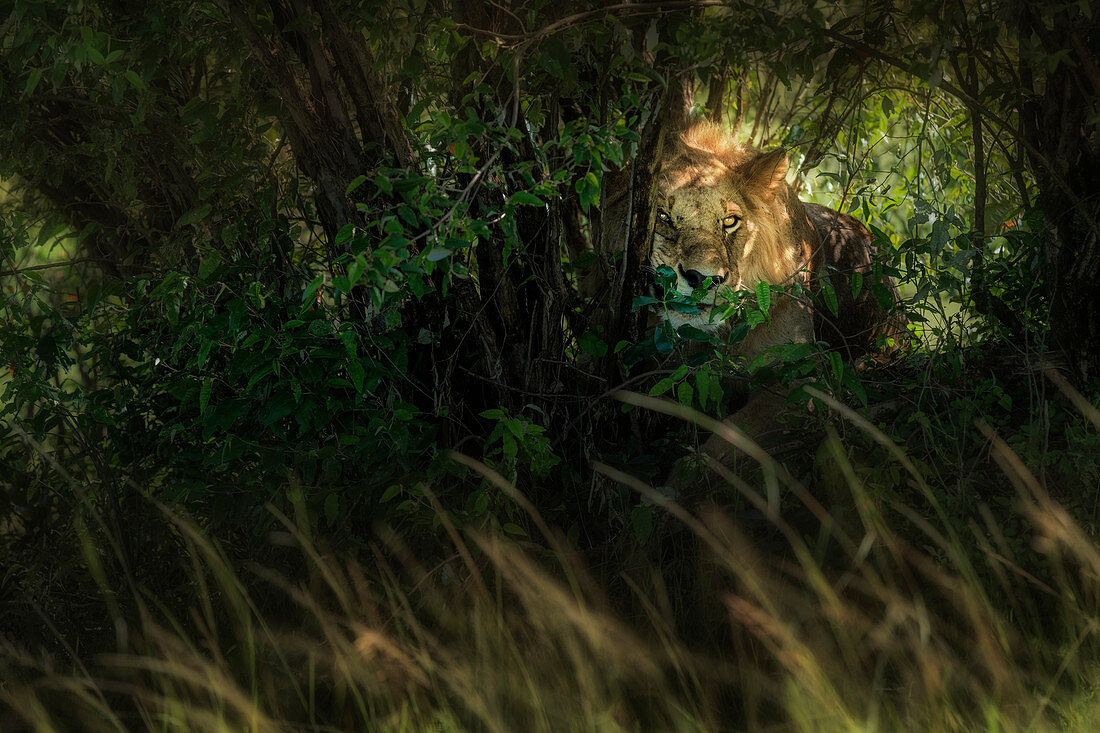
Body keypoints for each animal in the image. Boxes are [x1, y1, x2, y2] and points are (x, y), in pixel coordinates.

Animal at [646, 122, 906, 460]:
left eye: (729, 221)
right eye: (663, 217)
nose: (702, 278)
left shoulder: (802, 381)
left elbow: (730, 438)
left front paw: (689, 469)